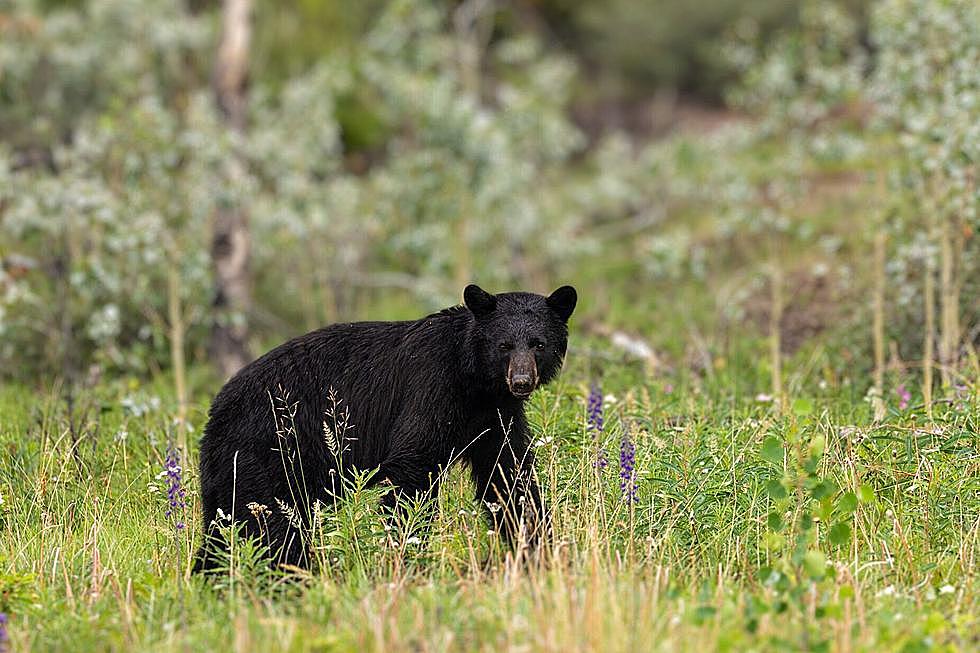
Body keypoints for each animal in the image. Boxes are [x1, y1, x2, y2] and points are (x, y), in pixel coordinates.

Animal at [193, 282, 576, 568]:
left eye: (538, 344)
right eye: (504, 345)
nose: (522, 381)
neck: (474, 382)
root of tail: (214, 412)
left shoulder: (495, 416)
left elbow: (509, 476)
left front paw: (539, 548)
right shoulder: (432, 387)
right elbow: (413, 466)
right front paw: (406, 551)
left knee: (225, 526)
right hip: (269, 451)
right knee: (268, 524)